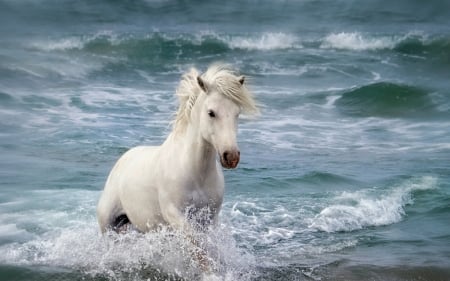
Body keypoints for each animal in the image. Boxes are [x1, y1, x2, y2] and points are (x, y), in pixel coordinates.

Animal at [96, 63, 258, 270]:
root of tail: (123, 159)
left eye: (237, 113)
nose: (231, 156)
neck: (195, 172)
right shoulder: (174, 214)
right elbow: (196, 246)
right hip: (107, 223)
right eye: (211, 112)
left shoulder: (209, 217)